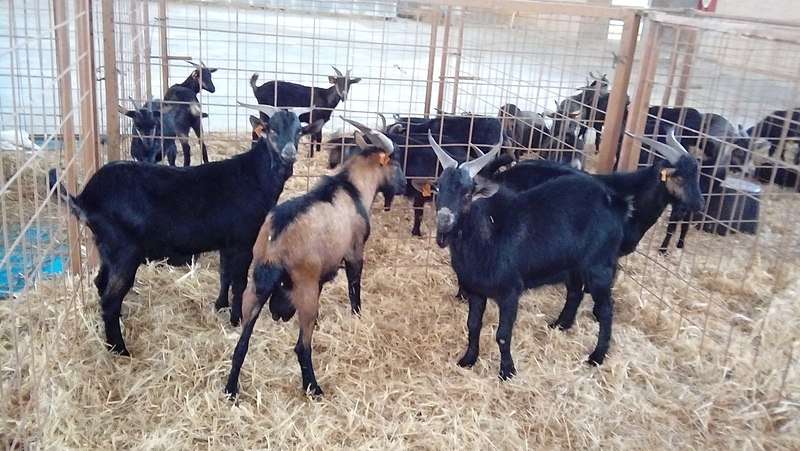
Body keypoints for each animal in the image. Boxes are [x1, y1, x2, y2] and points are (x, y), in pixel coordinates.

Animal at [49, 103, 323, 356]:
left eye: (299, 131)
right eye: (272, 129)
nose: (289, 153)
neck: (255, 177)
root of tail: (85, 198)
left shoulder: (226, 242)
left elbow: (224, 275)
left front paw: (220, 306)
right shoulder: (243, 241)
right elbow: (239, 282)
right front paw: (236, 319)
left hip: (106, 247)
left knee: (100, 283)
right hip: (124, 250)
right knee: (109, 299)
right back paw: (120, 350)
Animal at [224, 125, 406, 398]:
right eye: (395, 163)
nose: (405, 184)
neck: (352, 188)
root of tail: (275, 241)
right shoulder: (354, 252)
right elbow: (354, 286)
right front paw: (357, 315)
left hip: (256, 288)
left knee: (242, 344)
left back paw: (231, 389)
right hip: (305, 288)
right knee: (302, 346)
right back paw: (314, 387)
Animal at [429, 132, 629, 374]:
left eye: (468, 193)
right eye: (438, 188)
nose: (444, 221)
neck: (487, 234)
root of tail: (615, 202)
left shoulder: (510, 292)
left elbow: (503, 335)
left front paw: (507, 371)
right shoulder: (475, 290)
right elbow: (473, 325)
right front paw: (468, 359)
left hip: (599, 267)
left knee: (606, 309)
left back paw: (597, 356)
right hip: (572, 265)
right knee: (575, 292)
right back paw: (560, 325)